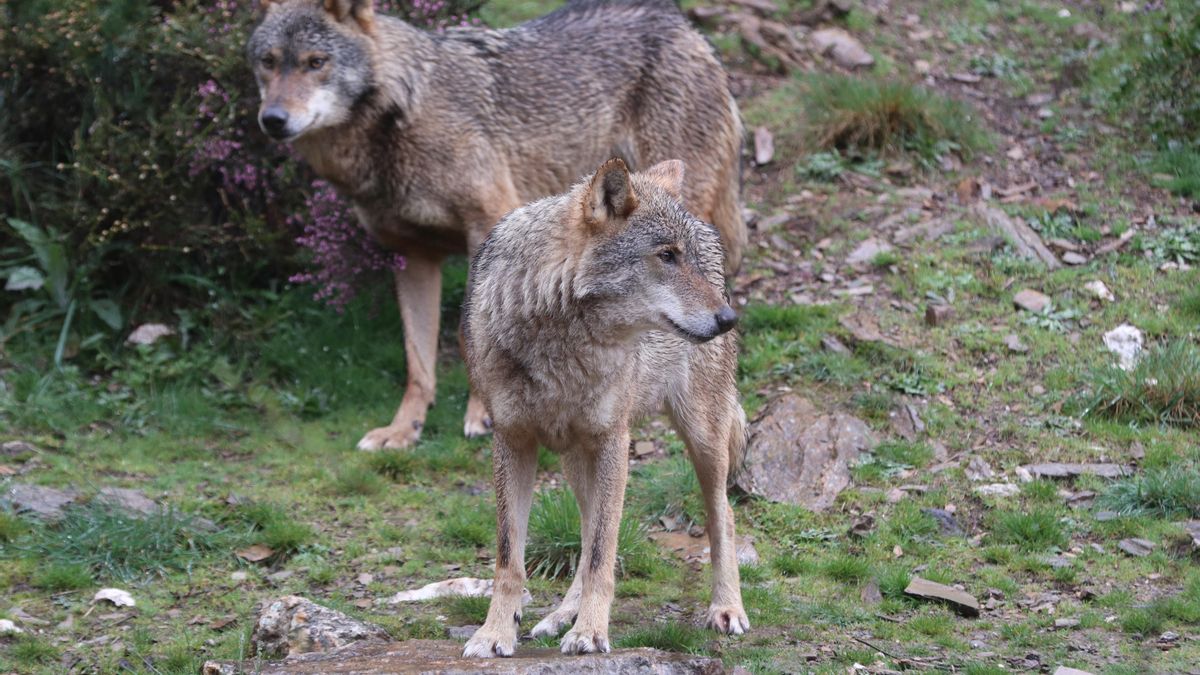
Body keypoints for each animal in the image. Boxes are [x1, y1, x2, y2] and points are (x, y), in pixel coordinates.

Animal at [247, 0, 747, 451]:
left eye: (316, 62)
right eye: (268, 62)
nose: (272, 120)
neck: (401, 115)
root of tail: (684, 25)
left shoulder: (485, 223)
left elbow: (467, 333)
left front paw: (483, 413)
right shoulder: (412, 256)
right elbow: (417, 360)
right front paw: (404, 429)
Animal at [461, 158, 749, 657]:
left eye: (685, 257)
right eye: (667, 256)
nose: (730, 318)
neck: (560, 342)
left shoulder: (614, 439)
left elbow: (601, 553)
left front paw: (591, 632)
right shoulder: (512, 440)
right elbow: (510, 558)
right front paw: (495, 633)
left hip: (702, 439)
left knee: (722, 515)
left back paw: (726, 607)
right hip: (577, 457)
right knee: (586, 525)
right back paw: (560, 616)